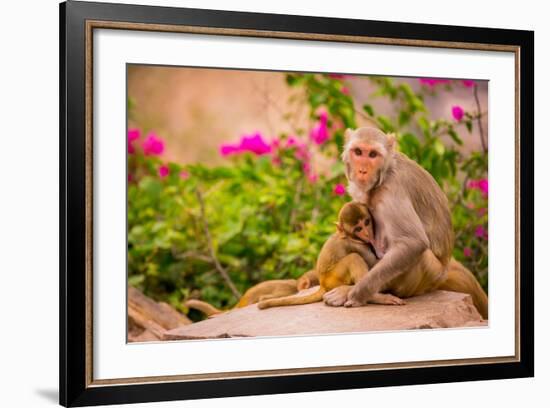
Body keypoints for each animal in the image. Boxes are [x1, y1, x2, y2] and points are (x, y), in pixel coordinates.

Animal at [258, 201, 406, 310]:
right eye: (358, 229)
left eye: (367, 222)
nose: (366, 233)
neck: (349, 236)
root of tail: (323, 284)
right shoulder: (356, 245)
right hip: (334, 278)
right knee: (354, 258)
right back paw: (374, 297)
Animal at [324, 126, 492, 318]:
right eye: (358, 152)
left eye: (373, 154)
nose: (362, 170)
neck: (385, 173)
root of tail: (444, 270)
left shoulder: (392, 191)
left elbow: (413, 243)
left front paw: (357, 294)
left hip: (425, 276)